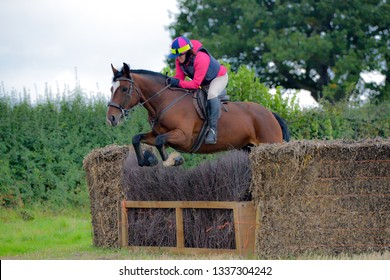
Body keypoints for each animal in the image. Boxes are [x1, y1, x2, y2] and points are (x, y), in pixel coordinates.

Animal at [106, 62, 290, 166]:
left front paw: (173, 160)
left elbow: (159, 142)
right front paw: (148, 161)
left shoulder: (183, 137)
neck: (165, 102)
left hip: (269, 142)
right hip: (249, 148)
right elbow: (137, 138)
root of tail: (270, 114)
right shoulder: (158, 133)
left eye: (124, 89)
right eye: (111, 89)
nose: (111, 118)